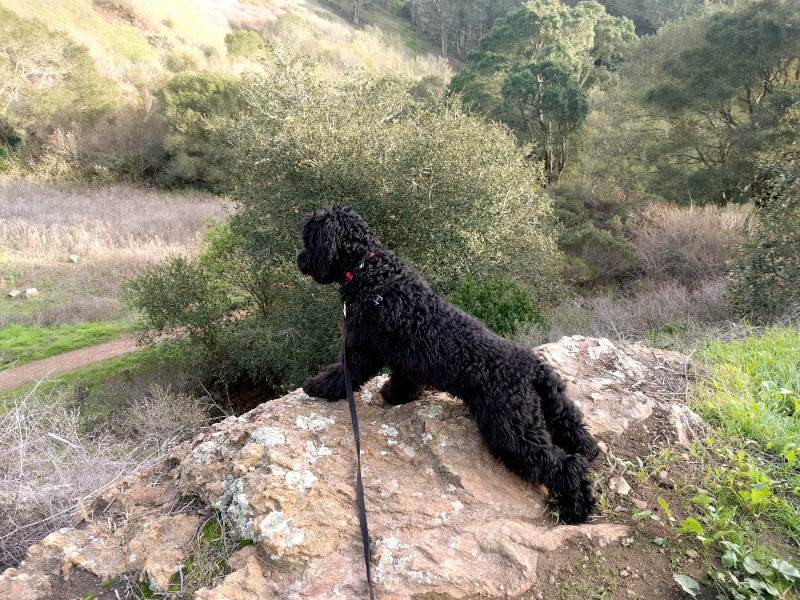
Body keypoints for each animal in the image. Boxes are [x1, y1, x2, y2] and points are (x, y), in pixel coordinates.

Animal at [296, 206, 596, 524]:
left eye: (309, 239)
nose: (300, 260)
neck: (371, 272)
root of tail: (531, 367)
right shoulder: (404, 360)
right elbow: (402, 380)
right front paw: (395, 396)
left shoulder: (361, 349)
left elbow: (342, 373)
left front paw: (317, 387)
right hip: (550, 409)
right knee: (577, 434)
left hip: (513, 433)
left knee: (565, 464)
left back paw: (575, 508)